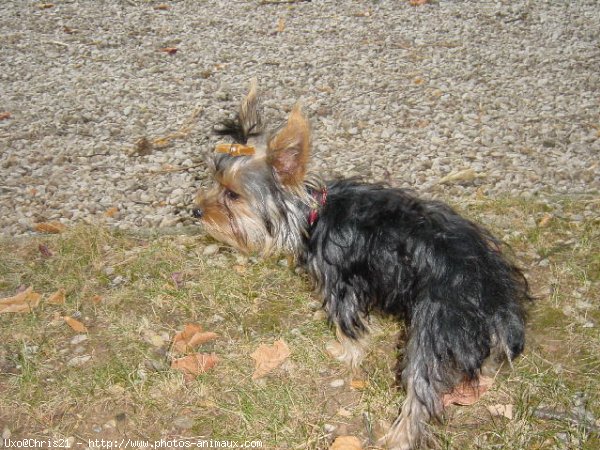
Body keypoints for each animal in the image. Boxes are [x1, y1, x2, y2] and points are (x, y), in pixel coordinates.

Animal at [193, 81, 528, 450]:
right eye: (213, 180)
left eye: (232, 194)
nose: (195, 211)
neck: (312, 214)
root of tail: (490, 285)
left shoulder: (340, 283)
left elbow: (348, 326)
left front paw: (345, 353)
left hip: (434, 325)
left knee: (421, 388)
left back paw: (399, 436)